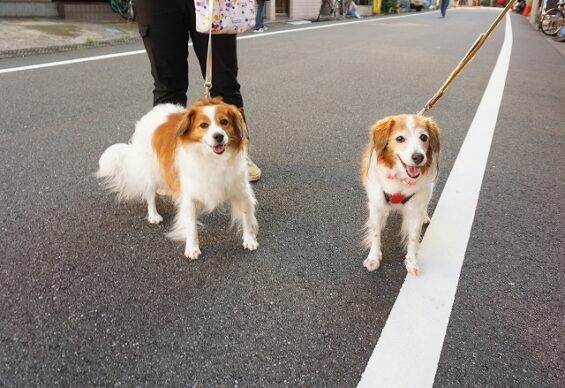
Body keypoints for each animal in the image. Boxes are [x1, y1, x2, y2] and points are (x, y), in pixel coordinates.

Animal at [97, 98, 258, 260]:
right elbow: (191, 226)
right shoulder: (190, 196)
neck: (213, 159)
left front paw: (249, 240)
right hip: (152, 172)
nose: (219, 136)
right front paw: (192, 247)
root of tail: (151, 113)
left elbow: (247, 218)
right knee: (150, 195)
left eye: (224, 122)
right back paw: (153, 215)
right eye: (203, 125)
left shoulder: (241, 191)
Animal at [362, 113, 440, 274]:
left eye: (424, 137)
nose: (418, 157)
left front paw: (412, 262)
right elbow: (375, 233)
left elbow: (413, 238)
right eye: (399, 138)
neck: (401, 178)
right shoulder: (376, 206)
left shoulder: (415, 209)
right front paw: (373, 258)